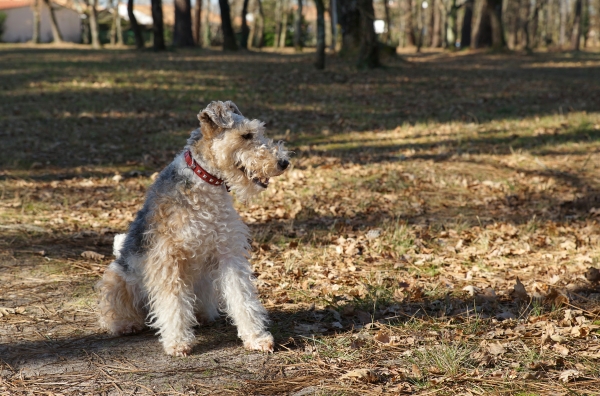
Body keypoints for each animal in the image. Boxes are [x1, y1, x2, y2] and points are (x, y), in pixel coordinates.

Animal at [96, 100, 288, 356]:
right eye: (246, 135)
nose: (284, 162)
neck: (205, 182)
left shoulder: (229, 254)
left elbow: (243, 298)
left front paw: (256, 338)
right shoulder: (167, 259)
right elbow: (173, 303)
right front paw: (177, 343)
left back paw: (203, 315)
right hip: (119, 279)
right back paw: (126, 323)